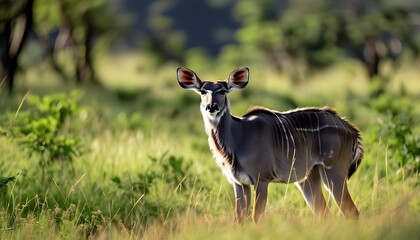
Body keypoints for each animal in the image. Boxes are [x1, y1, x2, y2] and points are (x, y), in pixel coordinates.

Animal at [176, 66, 362, 222]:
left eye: (222, 91)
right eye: (202, 91)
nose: (211, 106)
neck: (238, 136)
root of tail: (352, 130)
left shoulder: (261, 179)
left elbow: (256, 218)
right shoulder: (239, 183)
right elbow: (240, 219)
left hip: (334, 171)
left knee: (351, 212)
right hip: (308, 177)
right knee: (324, 212)